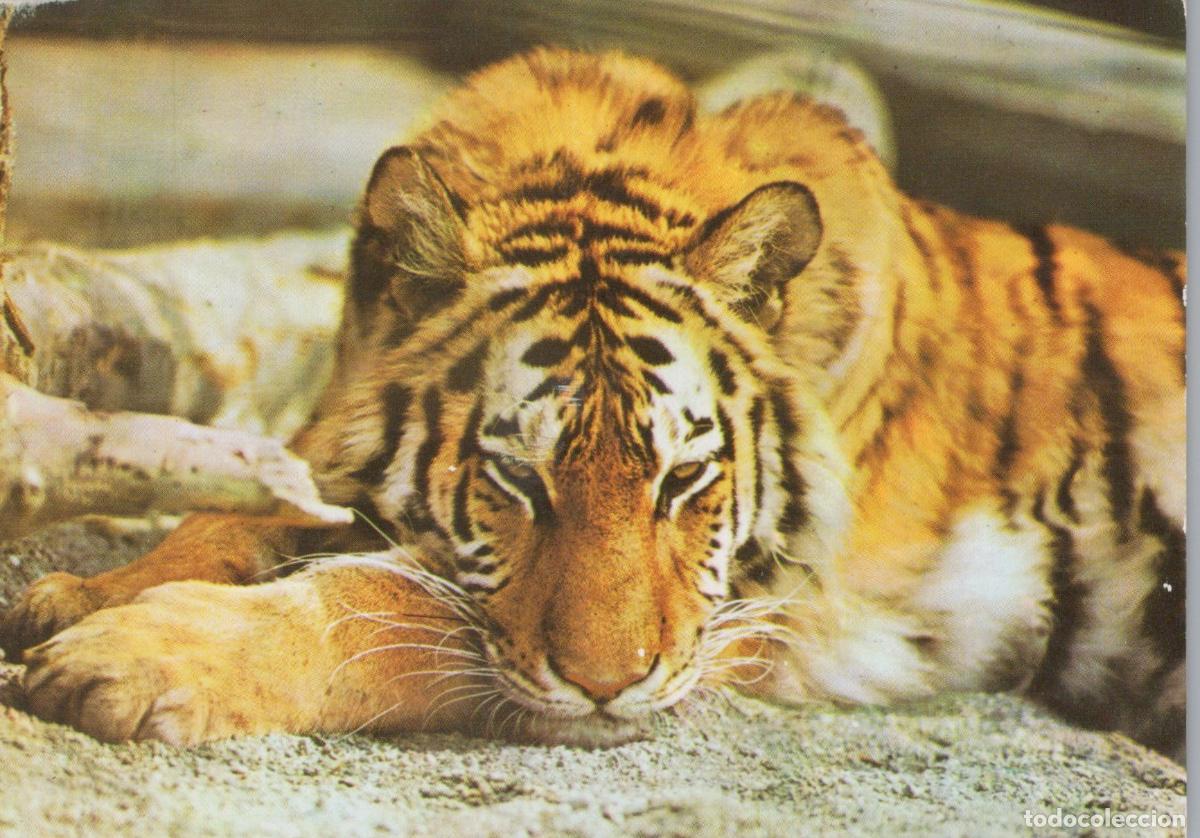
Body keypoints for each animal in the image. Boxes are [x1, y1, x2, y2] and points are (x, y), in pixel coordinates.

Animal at [0, 48, 1184, 755]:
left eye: (686, 480)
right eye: (517, 479)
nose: (611, 689)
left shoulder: (767, 608)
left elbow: (386, 604)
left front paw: (133, 658)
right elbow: (245, 502)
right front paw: (91, 592)